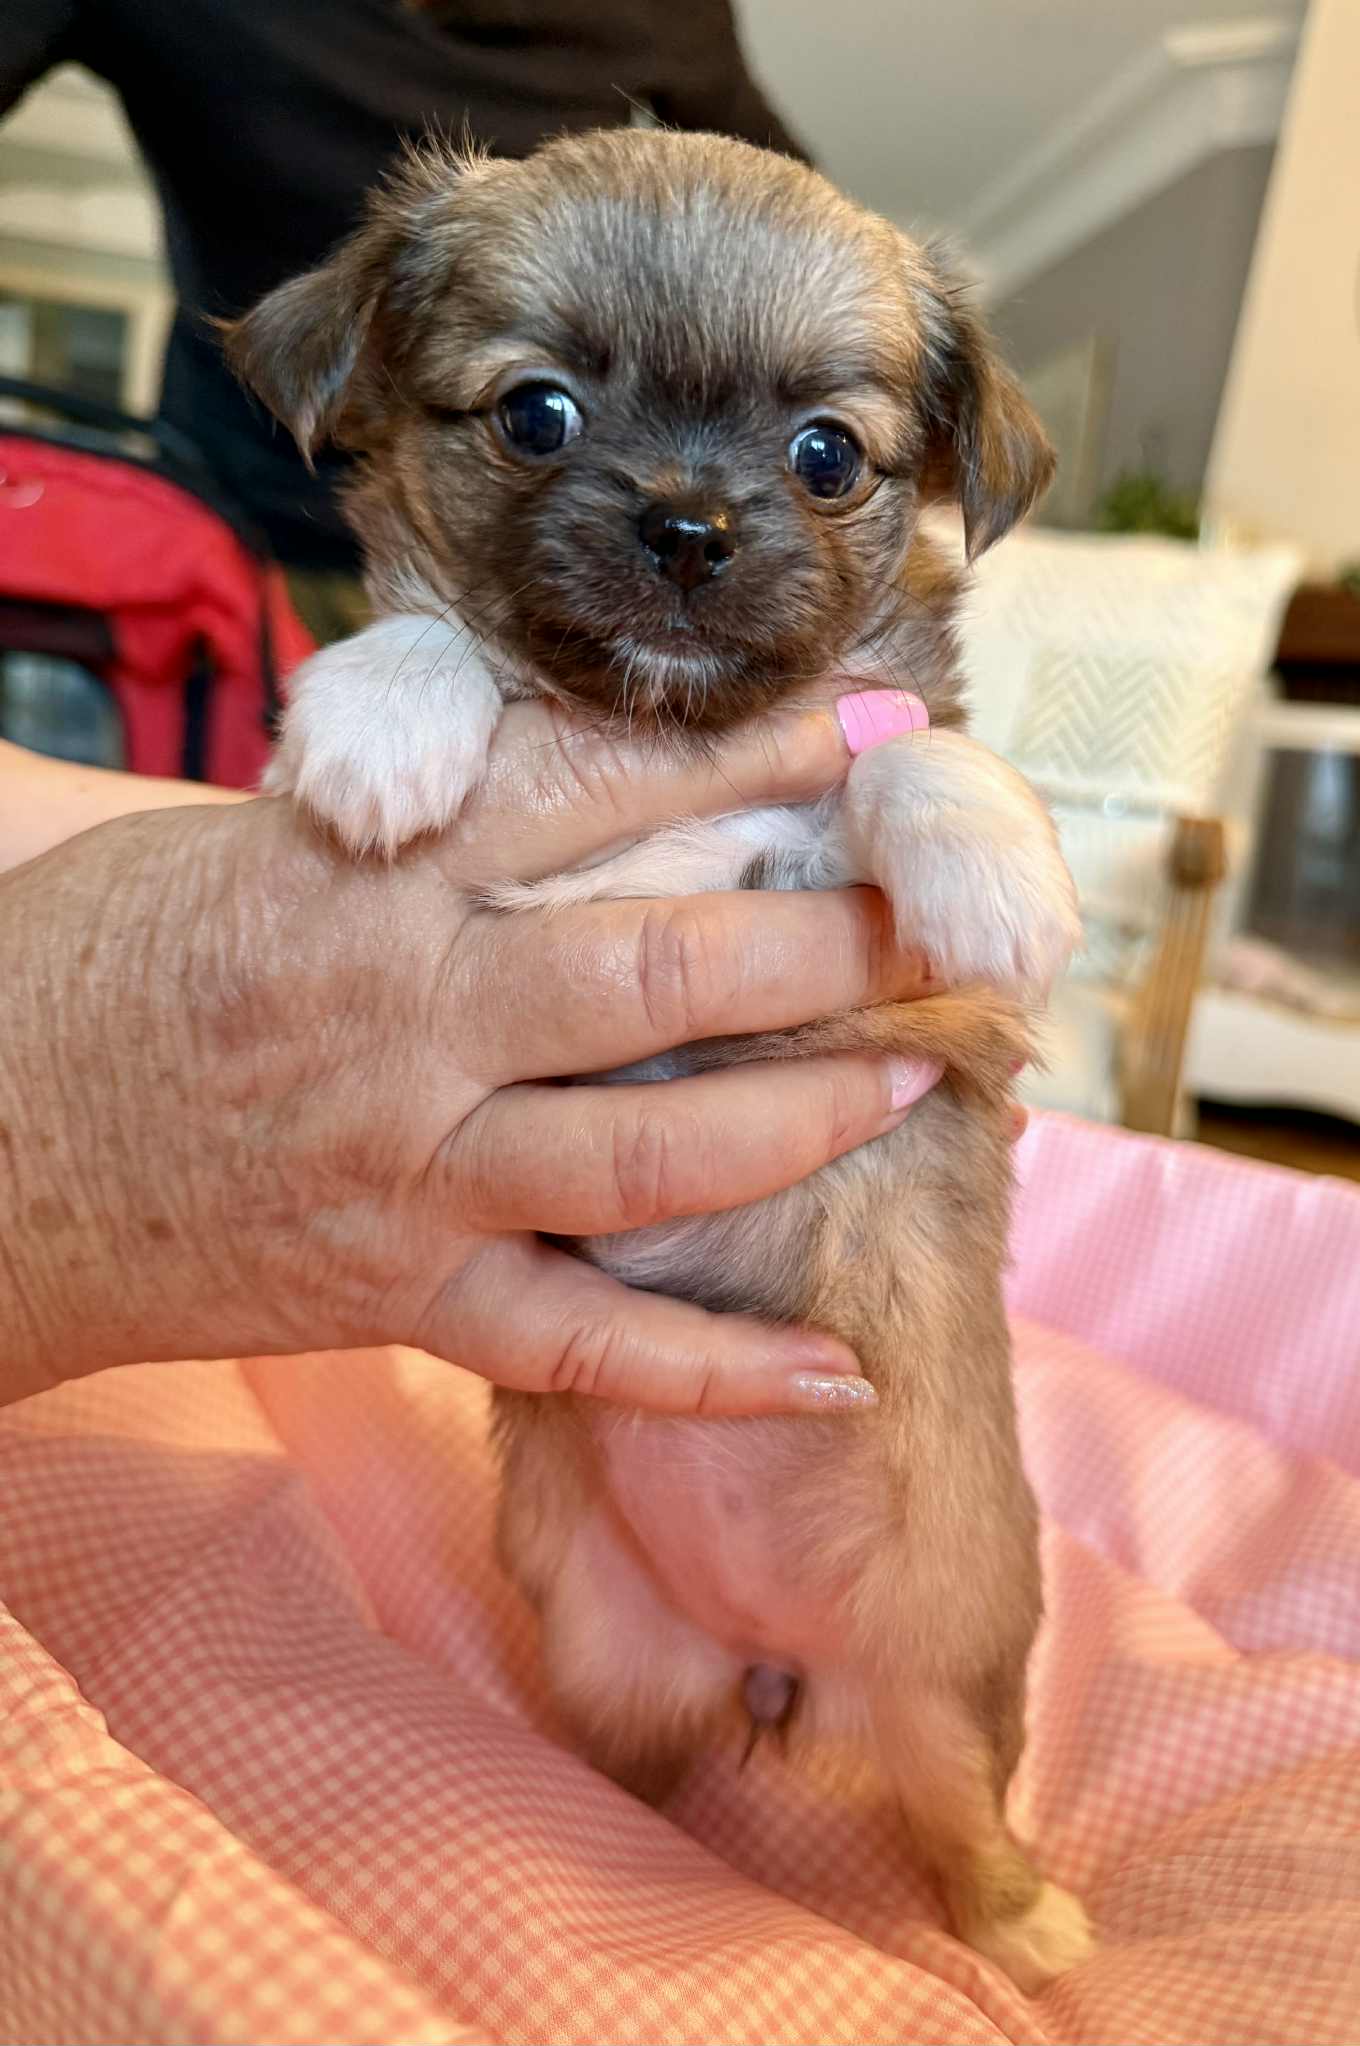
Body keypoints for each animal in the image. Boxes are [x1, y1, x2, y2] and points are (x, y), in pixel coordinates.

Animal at [226, 127, 1089, 1990]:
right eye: (538, 415)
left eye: (826, 455)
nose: (689, 526)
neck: (651, 731)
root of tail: (779, 1651)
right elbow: (434, 638)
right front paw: (386, 716)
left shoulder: (896, 966)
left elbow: (897, 752)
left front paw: (993, 863)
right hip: (624, 1658)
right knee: (647, 1778)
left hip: (949, 1671)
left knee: (964, 1816)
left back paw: (1027, 1927)